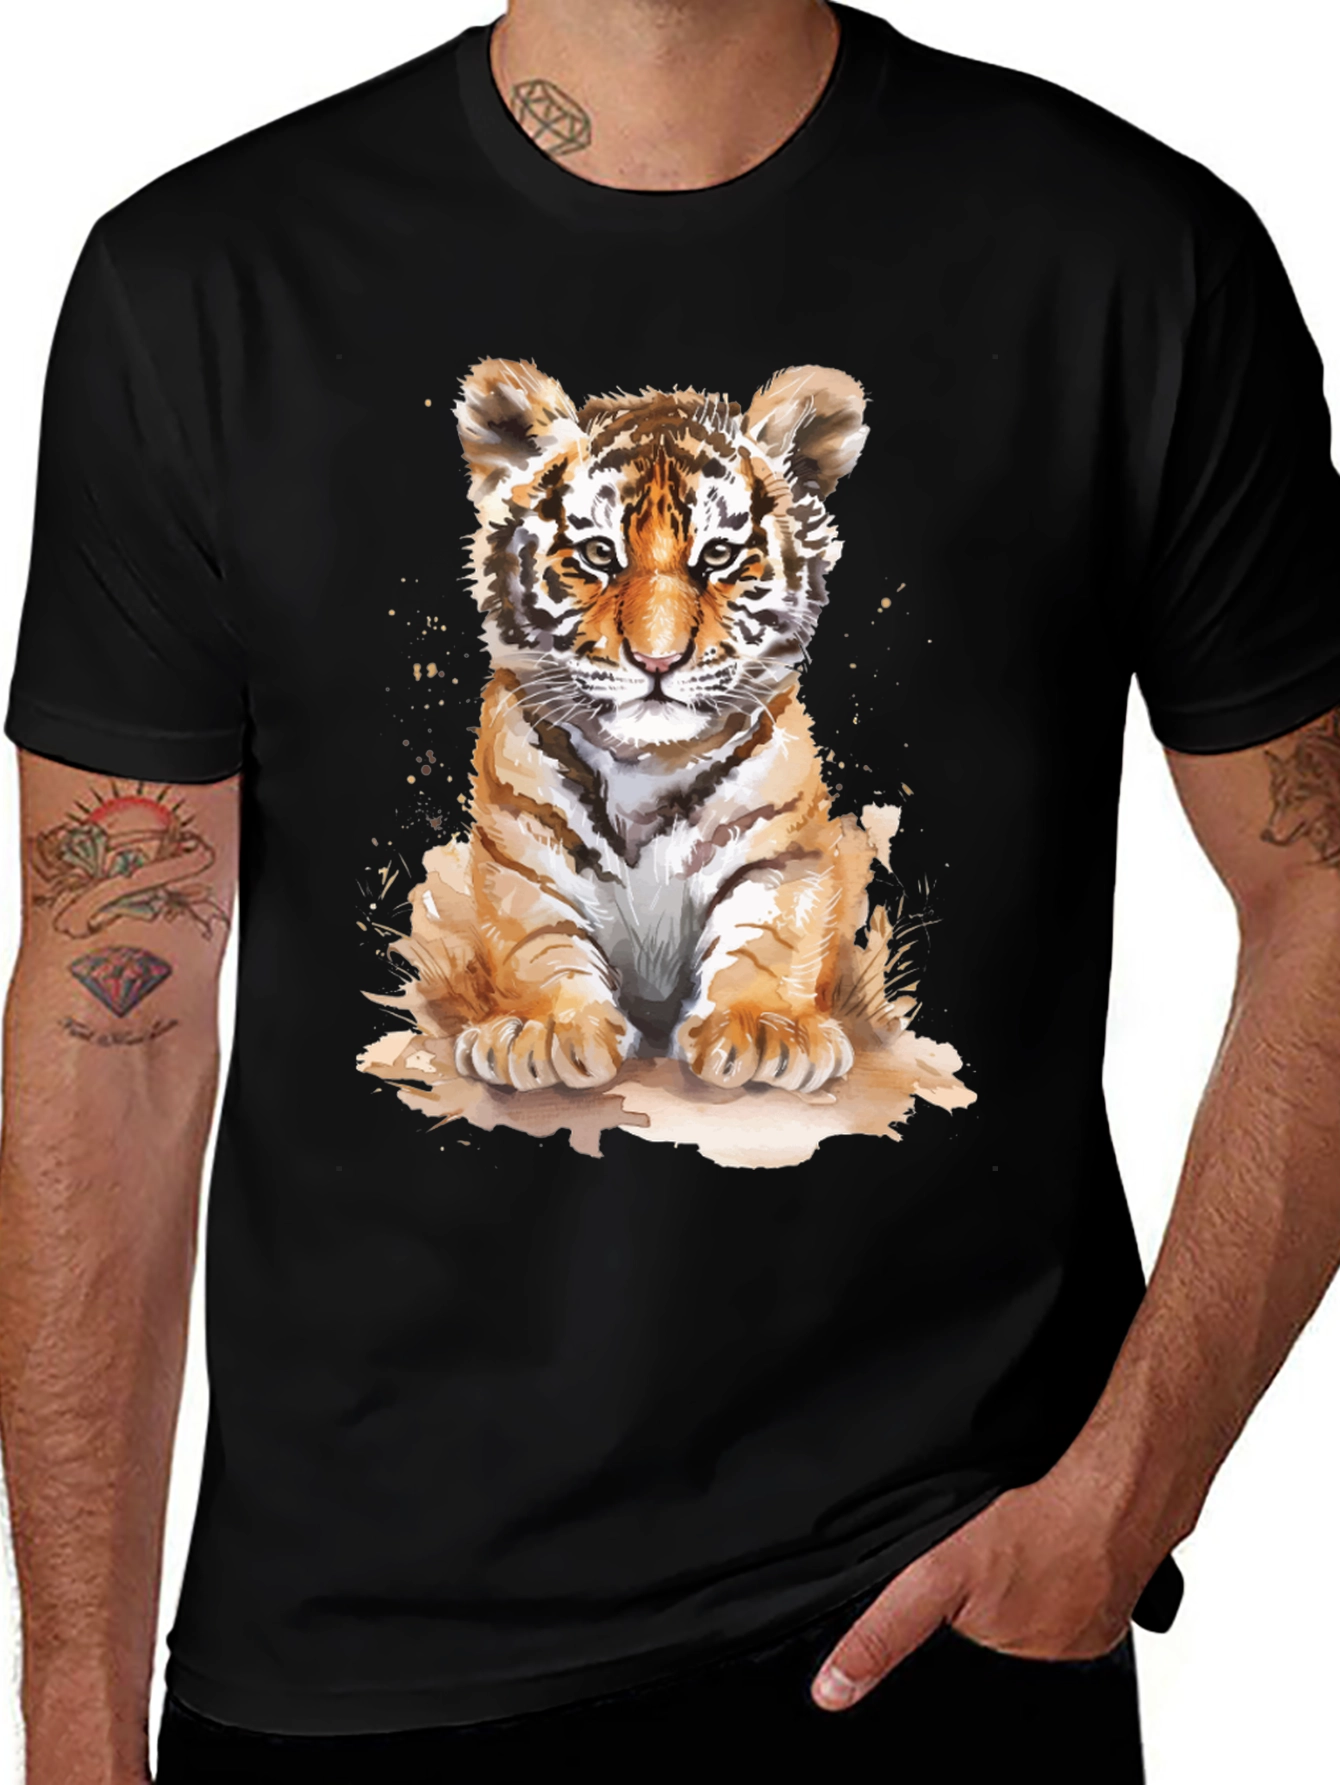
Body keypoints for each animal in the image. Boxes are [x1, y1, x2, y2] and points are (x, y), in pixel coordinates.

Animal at [443, 358, 872, 1095]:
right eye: (597, 553)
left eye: (720, 556)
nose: (658, 658)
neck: (645, 764)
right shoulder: (520, 845)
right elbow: (534, 937)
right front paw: (543, 1029)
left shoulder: (782, 847)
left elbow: (769, 934)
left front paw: (767, 1030)